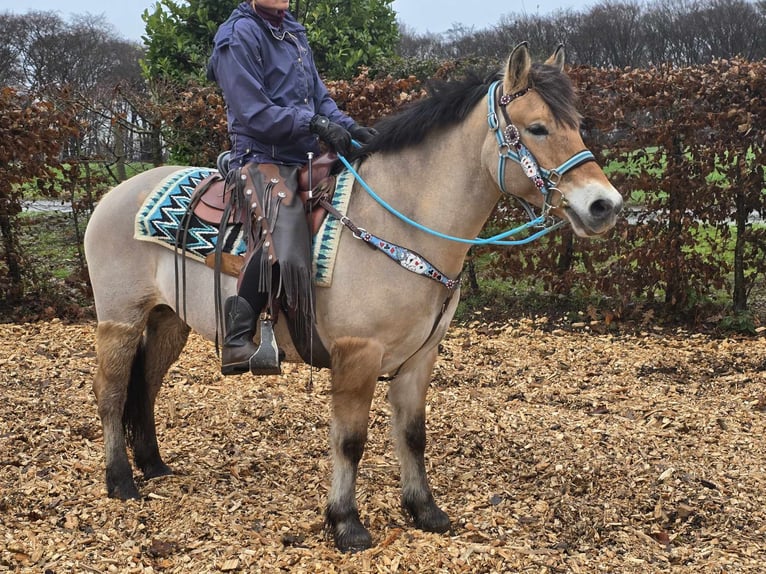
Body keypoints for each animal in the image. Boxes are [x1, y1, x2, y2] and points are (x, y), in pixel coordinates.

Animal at [84, 42, 624, 552]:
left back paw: (153, 465)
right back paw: (121, 481)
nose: (605, 205)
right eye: (537, 128)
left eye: (577, 125)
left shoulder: (420, 356)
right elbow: (350, 442)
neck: (399, 222)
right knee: (110, 394)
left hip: (167, 321)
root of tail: (114, 196)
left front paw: (424, 510)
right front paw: (346, 523)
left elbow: (412, 434)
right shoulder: (356, 356)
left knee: (145, 387)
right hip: (120, 321)